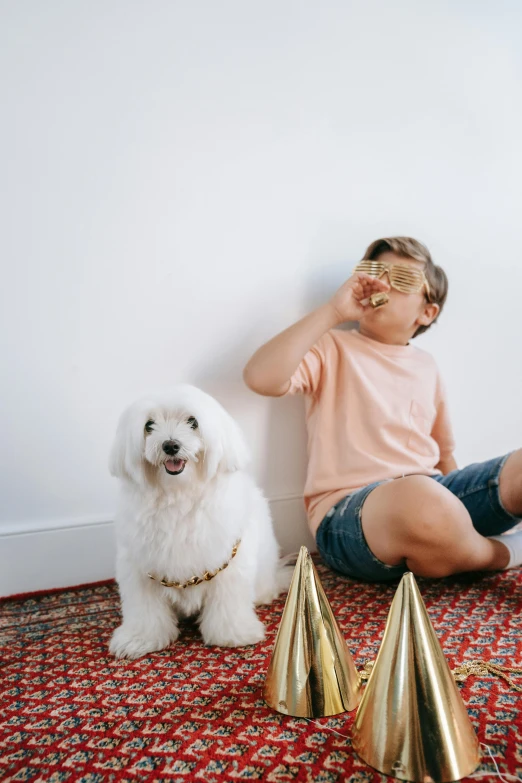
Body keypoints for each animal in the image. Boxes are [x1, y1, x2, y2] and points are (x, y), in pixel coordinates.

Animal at [107, 386, 290, 660]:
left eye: (192, 422)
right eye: (149, 425)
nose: (171, 445)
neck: (179, 494)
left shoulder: (228, 562)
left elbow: (228, 600)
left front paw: (233, 634)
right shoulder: (138, 566)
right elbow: (144, 608)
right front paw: (139, 639)